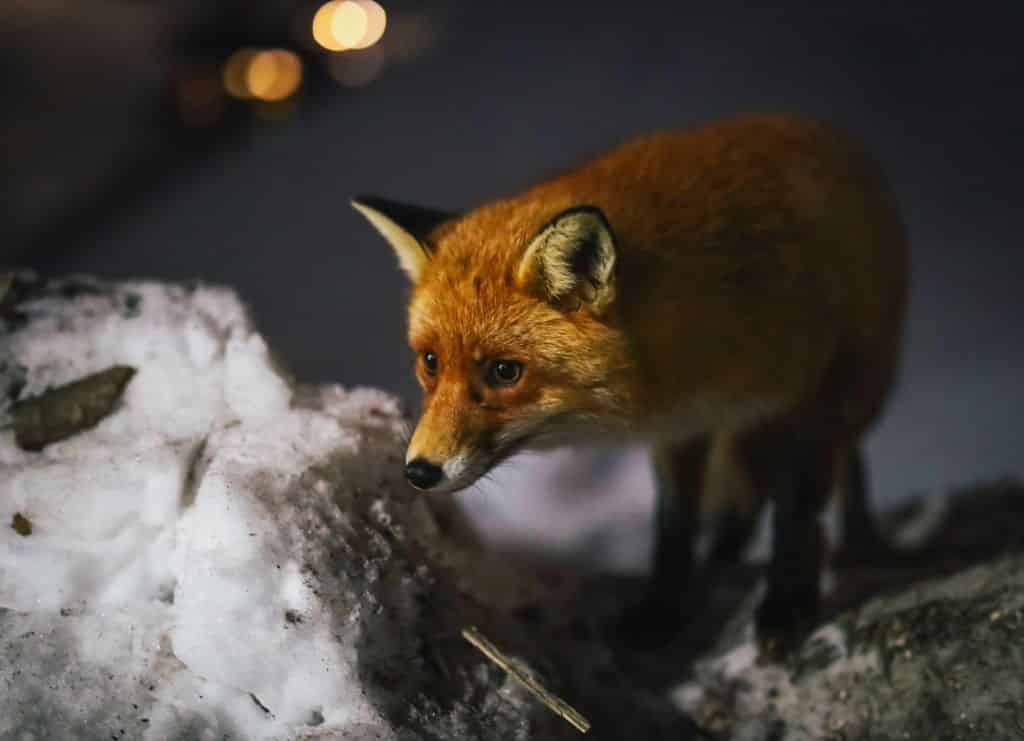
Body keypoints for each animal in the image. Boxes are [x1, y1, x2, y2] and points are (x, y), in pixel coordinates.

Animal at [350, 113, 905, 650]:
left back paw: (860, 543)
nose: (419, 471)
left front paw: (786, 606)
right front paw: (660, 616)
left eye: (505, 371)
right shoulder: (681, 430)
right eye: (430, 362)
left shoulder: (818, 392)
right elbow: (674, 527)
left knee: (843, 461)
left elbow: (798, 513)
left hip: (863, 384)